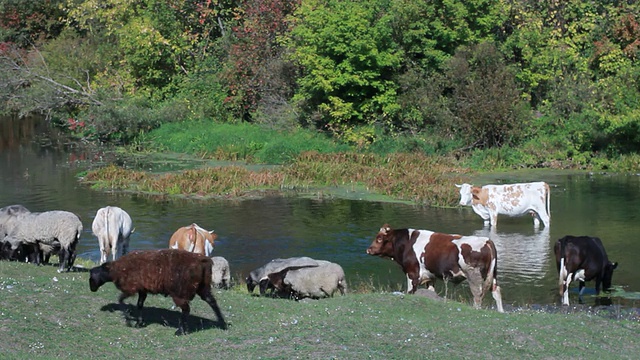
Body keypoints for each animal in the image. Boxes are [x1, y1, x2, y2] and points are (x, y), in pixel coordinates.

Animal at [89, 248, 229, 334]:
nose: (92, 289)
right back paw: (222, 323)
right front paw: (139, 322)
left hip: (180, 291)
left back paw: (180, 331)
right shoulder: (142, 289)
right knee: (212, 301)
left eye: (91, 277)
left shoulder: (131, 288)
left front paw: (129, 320)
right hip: (203, 286)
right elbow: (139, 305)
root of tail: (204, 261)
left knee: (186, 309)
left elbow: (121, 300)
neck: (114, 271)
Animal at [368, 222, 502, 312]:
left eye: (379, 239)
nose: (368, 249)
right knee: (496, 292)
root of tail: (486, 240)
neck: (406, 243)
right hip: (492, 275)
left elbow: (410, 291)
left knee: (478, 294)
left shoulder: (412, 273)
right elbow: (431, 292)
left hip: (474, 276)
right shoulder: (430, 277)